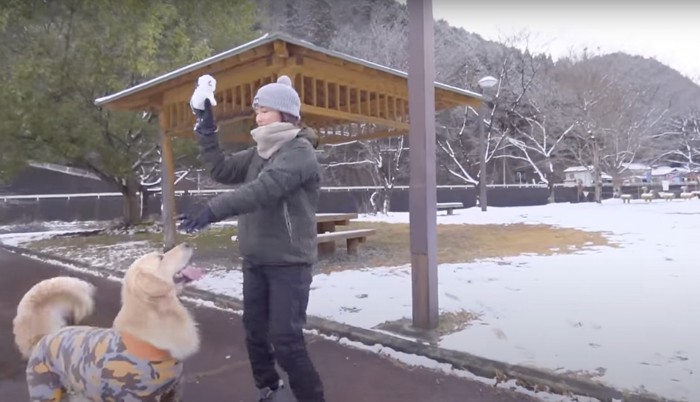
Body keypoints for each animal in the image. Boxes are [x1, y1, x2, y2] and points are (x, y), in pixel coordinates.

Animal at [13, 242, 205, 402]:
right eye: (160, 257)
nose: (187, 243)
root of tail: (43, 337)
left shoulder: (172, 393)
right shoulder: (136, 397)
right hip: (46, 390)